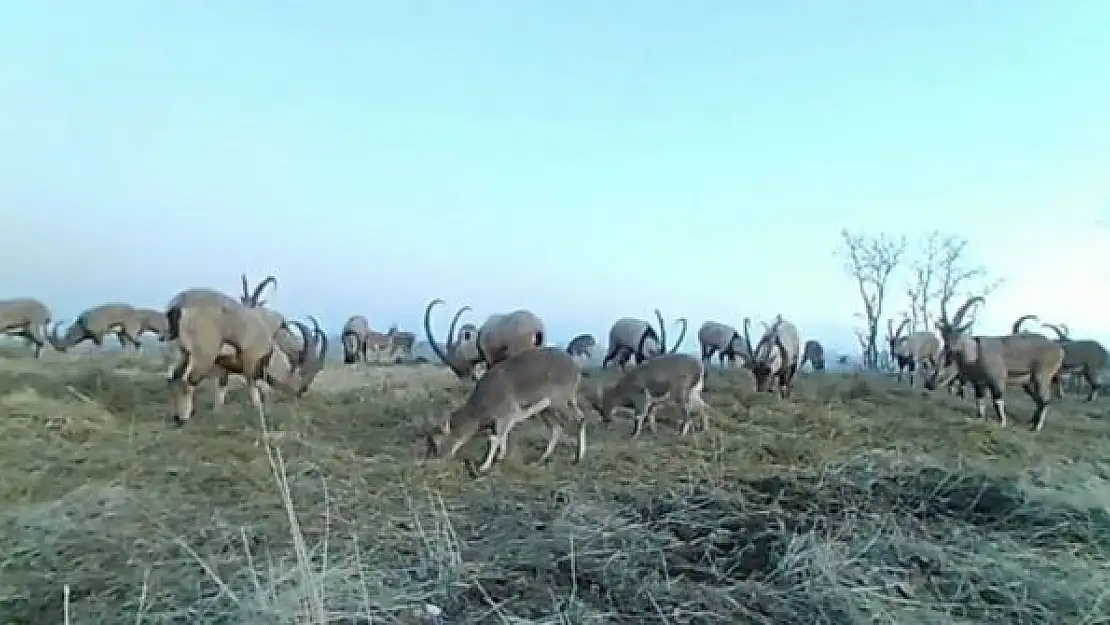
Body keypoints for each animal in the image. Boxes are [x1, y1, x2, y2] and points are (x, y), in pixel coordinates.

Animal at [421, 346, 586, 475]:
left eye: (436, 442)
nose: (429, 463)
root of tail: (574, 367)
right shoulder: (505, 419)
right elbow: (502, 436)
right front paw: (500, 457)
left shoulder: (506, 414)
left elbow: (495, 438)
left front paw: (484, 466)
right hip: (546, 408)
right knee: (557, 427)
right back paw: (542, 458)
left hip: (560, 401)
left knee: (579, 418)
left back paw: (578, 458)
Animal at [919, 295, 1065, 432]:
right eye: (944, 334)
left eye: (958, 333)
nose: (948, 349)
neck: (975, 354)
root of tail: (1059, 349)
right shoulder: (979, 383)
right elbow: (980, 401)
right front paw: (979, 420)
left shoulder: (997, 380)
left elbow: (997, 401)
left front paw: (1002, 424)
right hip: (1029, 381)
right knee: (1039, 400)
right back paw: (1033, 422)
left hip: (1042, 375)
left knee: (1045, 399)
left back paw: (1036, 427)